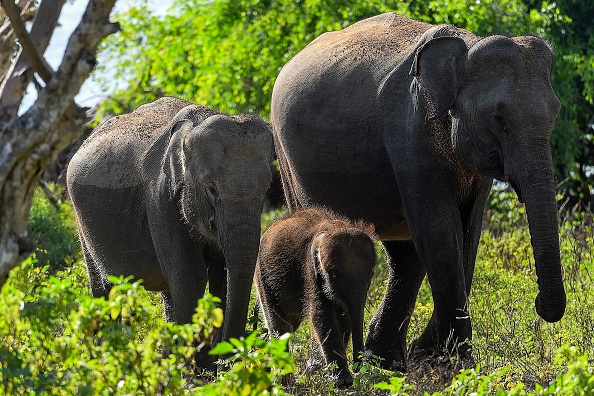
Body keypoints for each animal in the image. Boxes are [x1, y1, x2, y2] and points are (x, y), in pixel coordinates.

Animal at [67, 97, 272, 360]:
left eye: (267, 189)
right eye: (211, 189)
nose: (226, 354)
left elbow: (220, 273)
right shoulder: (159, 196)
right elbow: (190, 276)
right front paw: (198, 367)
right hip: (82, 226)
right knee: (104, 289)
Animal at [253, 207, 374, 386]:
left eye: (371, 275)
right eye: (334, 274)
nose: (358, 366)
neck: (333, 226)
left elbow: (343, 318)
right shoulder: (310, 269)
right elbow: (321, 315)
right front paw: (343, 382)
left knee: (288, 326)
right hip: (263, 277)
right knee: (279, 326)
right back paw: (284, 382)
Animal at [268, 13, 564, 372]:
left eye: (556, 113)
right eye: (498, 117)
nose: (540, 304)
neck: (466, 47)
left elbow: (467, 235)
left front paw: (432, 356)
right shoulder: (409, 131)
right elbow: (441, 233)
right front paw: (454, 363)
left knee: (405, 255)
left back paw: (385, 361)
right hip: (286, 157)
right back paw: (326, 368)